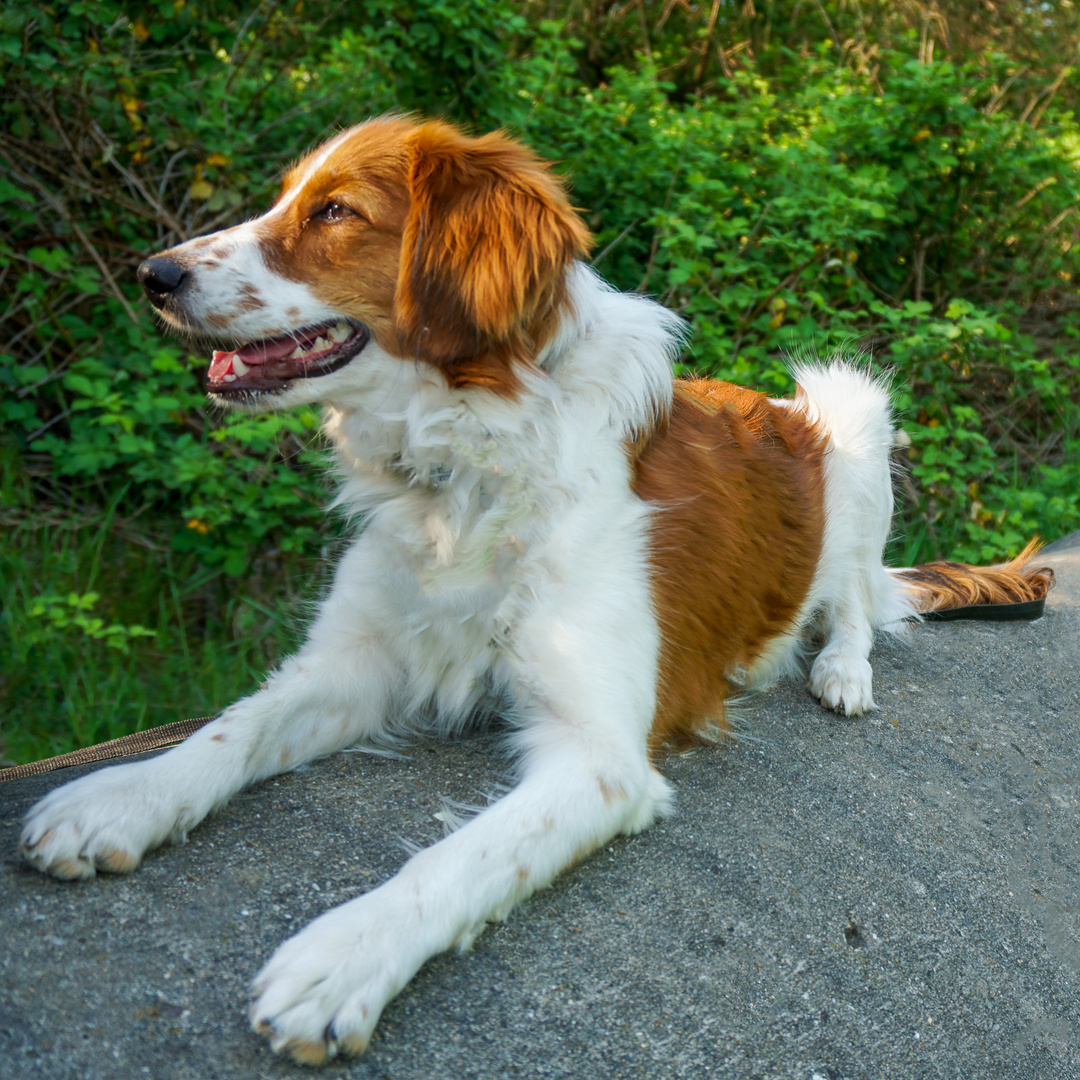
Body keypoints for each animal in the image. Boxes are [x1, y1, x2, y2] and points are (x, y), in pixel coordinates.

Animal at [16, 118, 1049, 1062]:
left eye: (336, 212)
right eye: (283, 199)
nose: (155, 274)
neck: (470, 461)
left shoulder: (597, 757)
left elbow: (457, 857)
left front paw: (341, 957)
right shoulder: (358, 661)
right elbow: (233, 729)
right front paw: (121, 798)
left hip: (851, 410)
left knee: (857, 603)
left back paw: (839, 671)